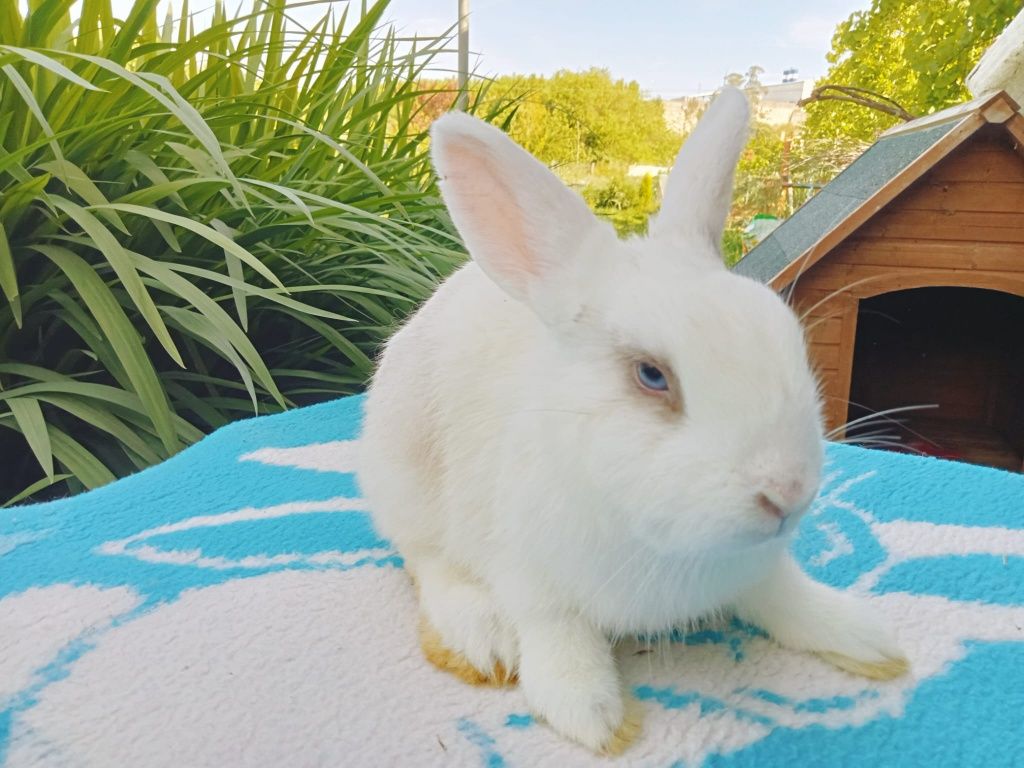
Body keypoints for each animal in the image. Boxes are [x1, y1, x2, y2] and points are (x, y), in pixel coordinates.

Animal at [356, 87, 909, 753]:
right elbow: (556, 634)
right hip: (405, 477)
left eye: (786, 336)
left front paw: (866, 638)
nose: (787, 493)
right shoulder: (531, 580)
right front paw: (589, 713)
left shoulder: (760, 570)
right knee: (424, 558)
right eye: (651, 375)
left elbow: (787, 597)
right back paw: (481, 636)